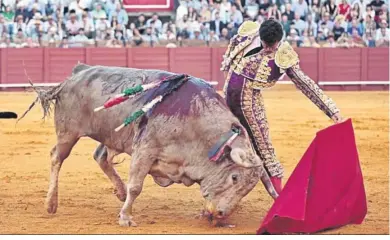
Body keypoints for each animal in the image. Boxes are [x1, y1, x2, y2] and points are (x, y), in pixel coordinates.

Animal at [22, 64, 278, 227]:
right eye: (234, 178)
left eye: (247, 189)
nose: (223, 214)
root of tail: (73, 76)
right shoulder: (144, 150)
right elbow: (136, 186)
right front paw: (125, 218)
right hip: (68, 132)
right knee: (57, 157)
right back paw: (51, 204)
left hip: (112, 135)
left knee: (100, 157)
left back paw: (119, 190)